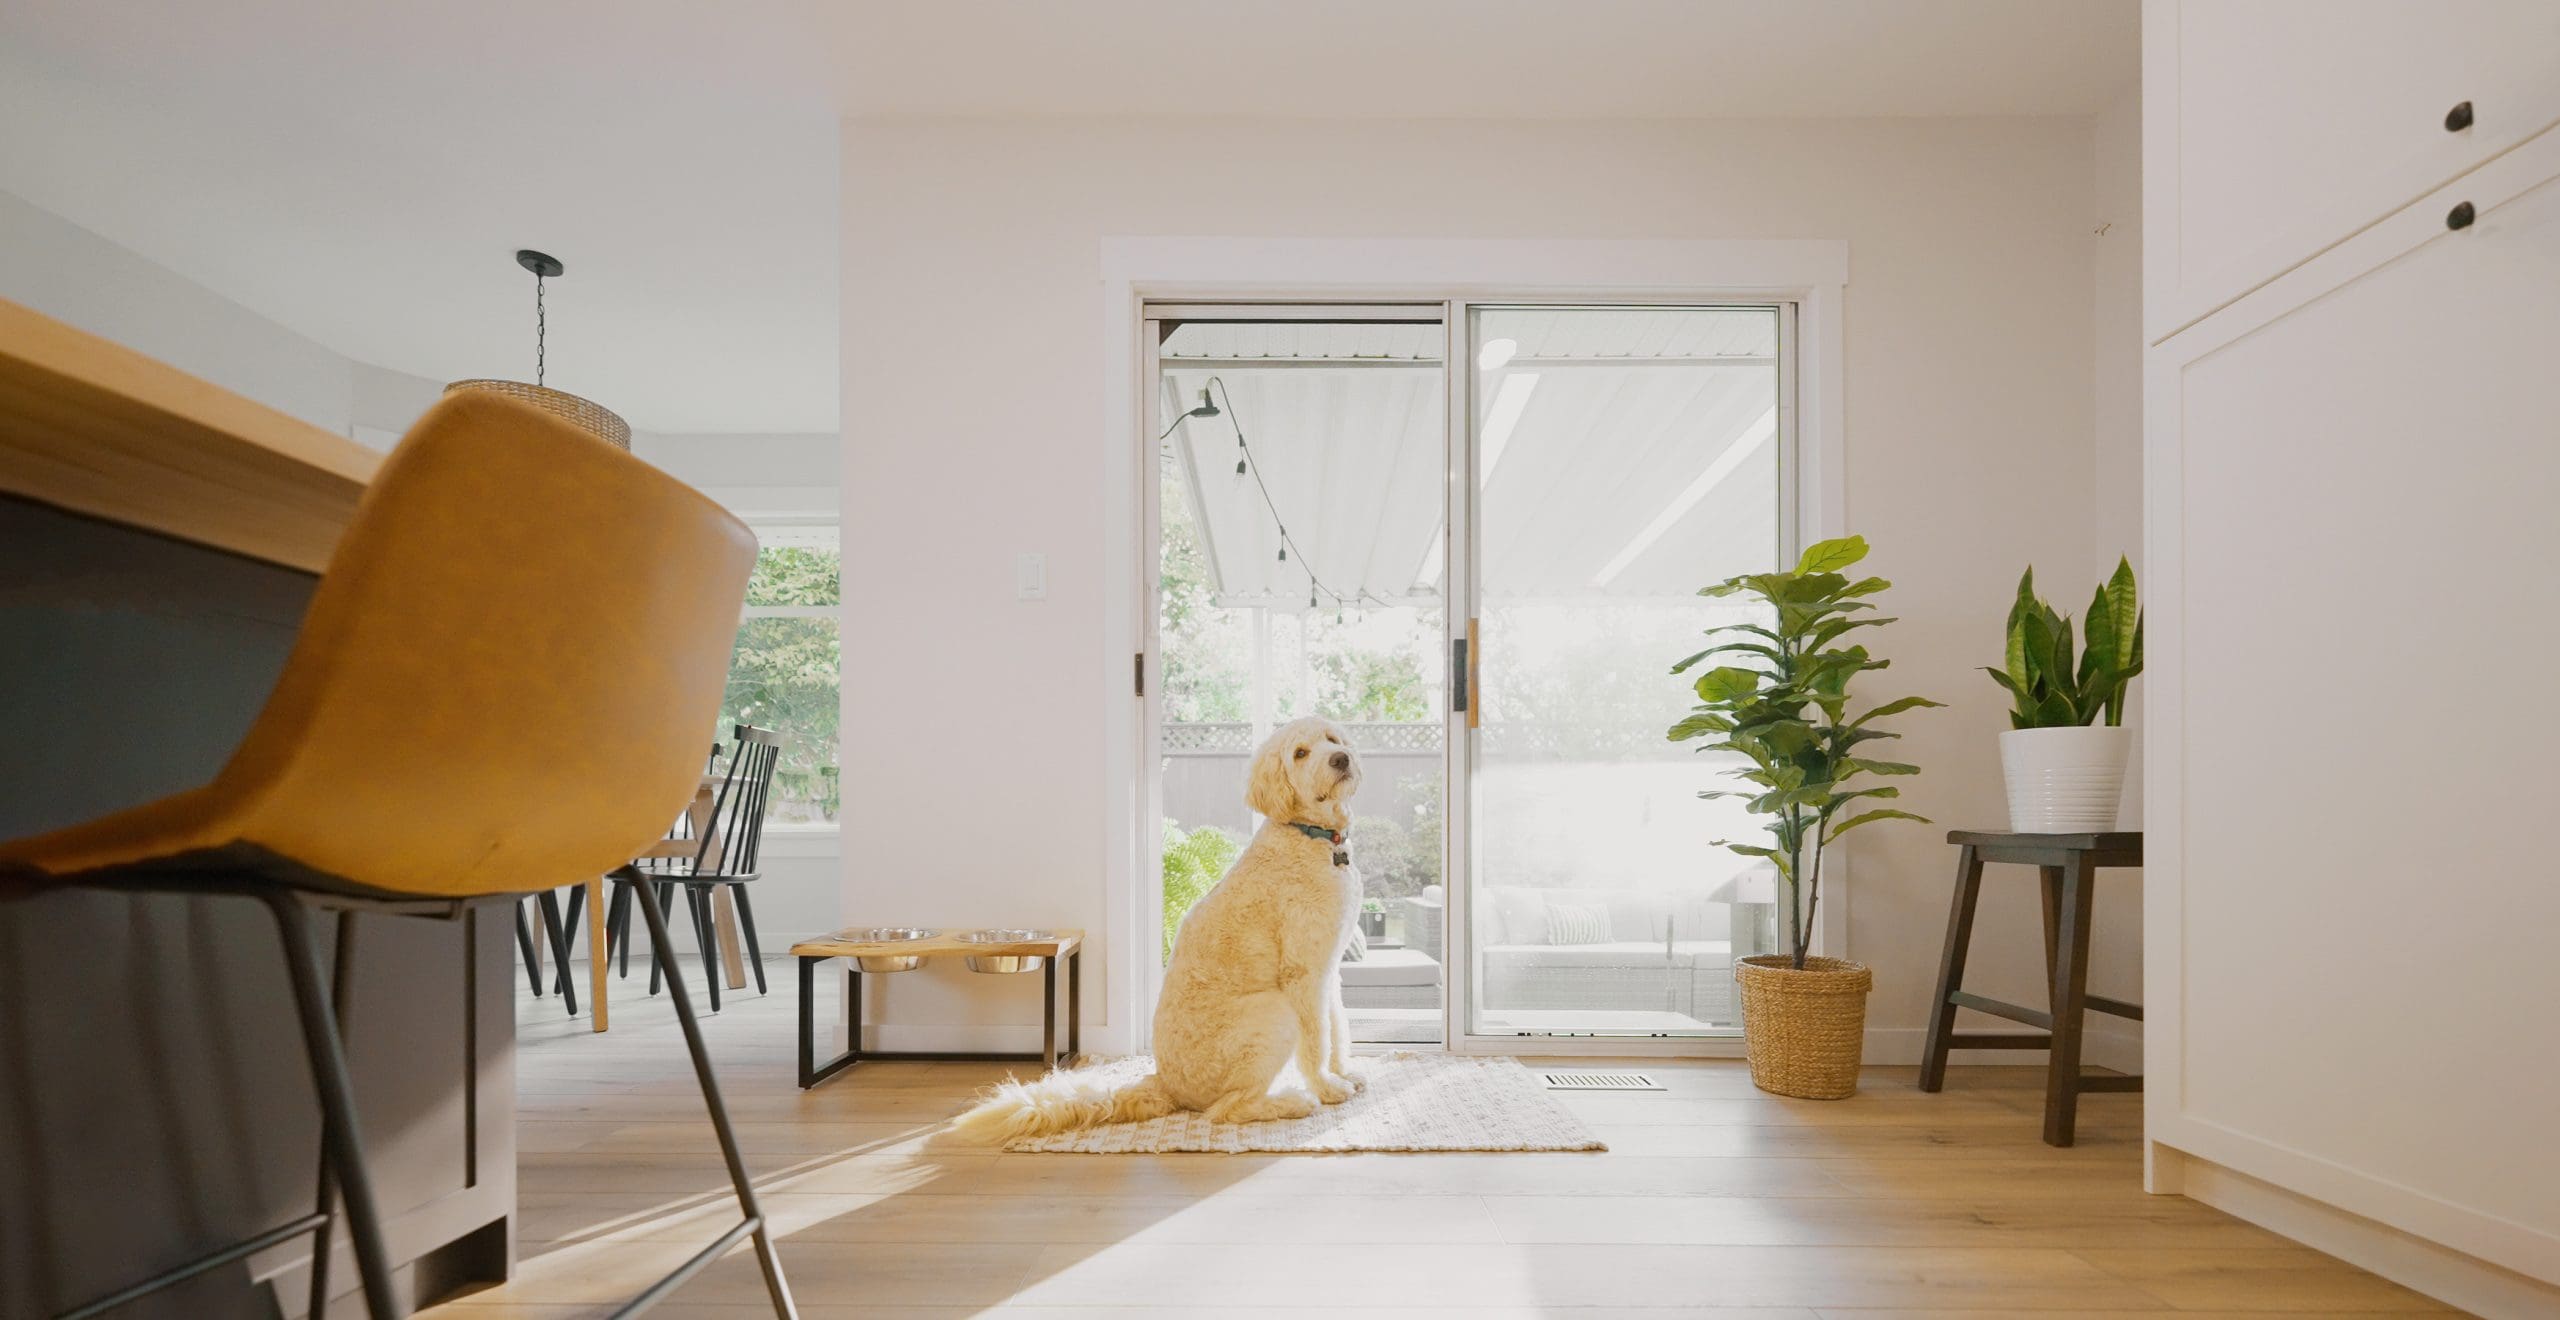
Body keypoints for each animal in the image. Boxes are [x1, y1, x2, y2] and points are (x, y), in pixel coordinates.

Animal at [957, 716, 1361, 1140]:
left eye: (1332, 739)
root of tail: (1166, 1084)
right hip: (1274, 1011)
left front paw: (1343, 1072)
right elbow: (1317, 1037)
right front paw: (1327, 1087)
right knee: (1228, 1109)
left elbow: (1337, 1026)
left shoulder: (1328, 967)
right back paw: (1293, 1101)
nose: (1340, 758)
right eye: (1300, 753)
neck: (1309, 835)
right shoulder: (1303, 973)